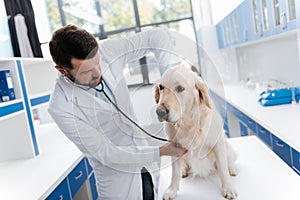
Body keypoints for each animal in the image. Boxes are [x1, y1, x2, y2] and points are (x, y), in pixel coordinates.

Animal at [155, 66, 237, 199]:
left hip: (228, 149)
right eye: (161, 87)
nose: (160, 111)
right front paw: (172, 190)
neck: (187, 122)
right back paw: (184, 170)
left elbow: (223, 169)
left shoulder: (218, 143)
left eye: (180, 88)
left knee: (228, 161)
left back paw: (232, 170)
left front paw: (228, 188)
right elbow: (175, 172)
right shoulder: (174, 147)